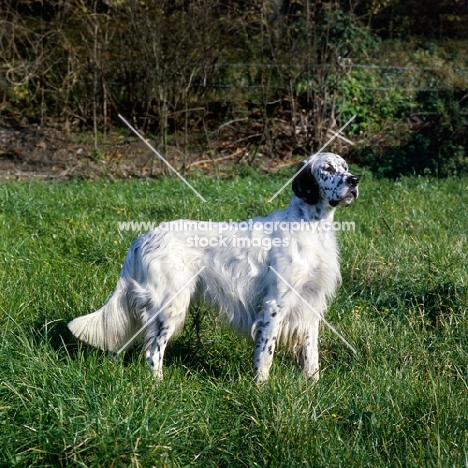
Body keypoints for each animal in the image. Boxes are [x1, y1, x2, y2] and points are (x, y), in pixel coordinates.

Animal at [67, 152, 358, 382]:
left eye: (345, 166)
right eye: (327, 169)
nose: (354, 181)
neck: (310, 227)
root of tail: (144, 238)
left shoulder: (310, 305)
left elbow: (311, 356)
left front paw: (313, 388)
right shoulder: (274, 305)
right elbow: (266, 353)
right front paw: (261, 388)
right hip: (171, 304)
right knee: (152, 351)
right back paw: (158, 385)